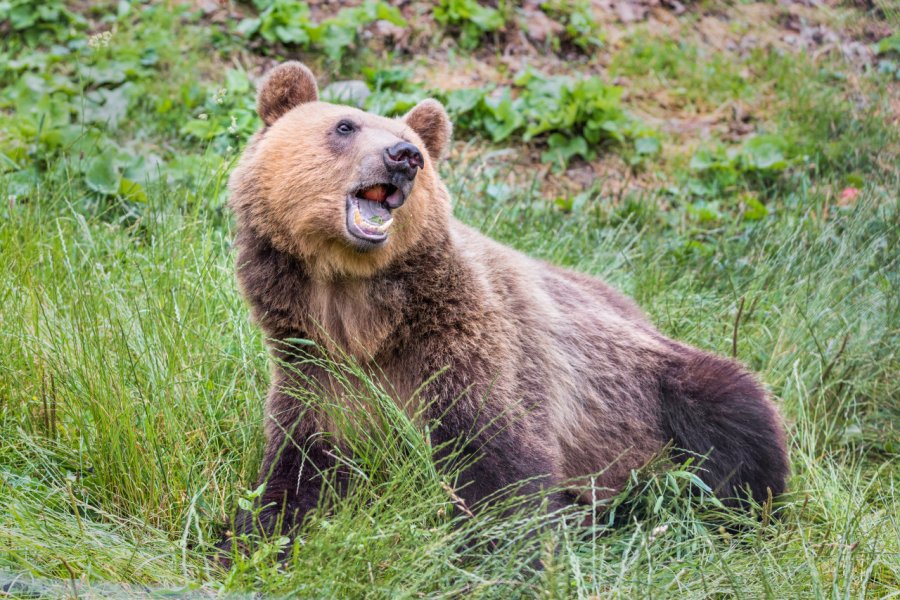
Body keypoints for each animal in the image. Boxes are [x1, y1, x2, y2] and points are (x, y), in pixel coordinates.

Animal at [225, 62, 788, 548]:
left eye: (417, 148)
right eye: (345, 125)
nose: (404, 156)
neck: (358, 308)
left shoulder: (472, 346)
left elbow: (498, 464)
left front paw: (497, 556)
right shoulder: (317, 370)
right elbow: (298, 468)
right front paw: (256, 535)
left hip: (651, 387)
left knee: (735, 419)